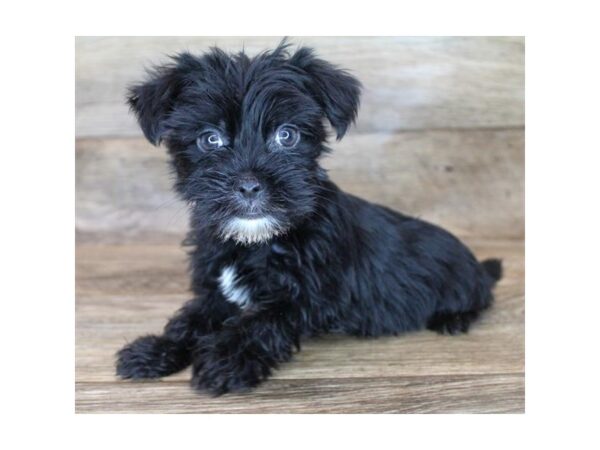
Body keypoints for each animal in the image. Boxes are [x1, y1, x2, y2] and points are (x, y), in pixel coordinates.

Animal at [116, 41, 502, 394]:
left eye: (286, 135)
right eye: (210, 139)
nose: (249, 185)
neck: (256, 241)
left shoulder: (309, 295)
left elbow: (261, 322)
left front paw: (224, 361)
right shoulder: (216, 289)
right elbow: (191, 318)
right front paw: (155, 349)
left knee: (481, 299)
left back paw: (455, 318)